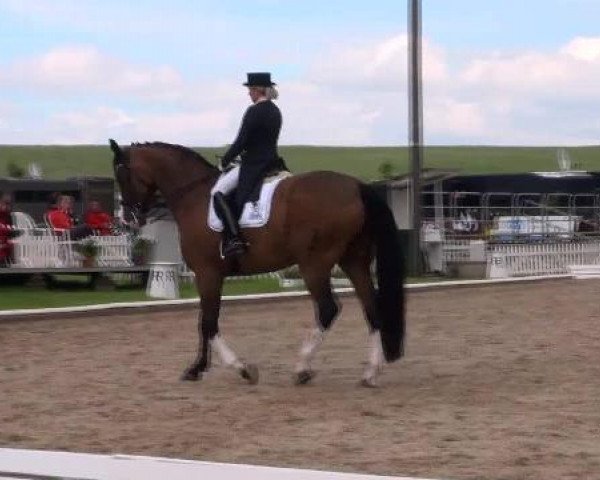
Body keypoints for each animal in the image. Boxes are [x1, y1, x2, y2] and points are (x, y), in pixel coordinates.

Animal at [110, 139, 406, 386]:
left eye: (122, 174)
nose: (126, 218)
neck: (194, 194)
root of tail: (357, 186)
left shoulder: (207, 273)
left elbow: (208, 323)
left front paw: (235, 368)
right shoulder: (208, 275)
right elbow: (205, 320)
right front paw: (200, 368)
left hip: (315, 264)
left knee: (328, 309)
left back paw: (302, 368)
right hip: (354, 261)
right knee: (372, 309)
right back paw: (370, 372)